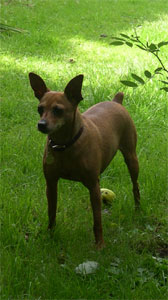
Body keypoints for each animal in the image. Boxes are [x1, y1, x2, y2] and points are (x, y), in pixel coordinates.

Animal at [28, 73, 139, 248]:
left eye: (58, 110)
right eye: (40, 109)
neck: (64, 145)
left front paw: (100, 244)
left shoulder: (93, 186)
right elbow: (51, 213)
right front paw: (50, 236)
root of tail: (116, 101)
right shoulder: (51, 184)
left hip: (131, 158)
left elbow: (97, 220)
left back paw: (138, 209)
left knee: (135, 186)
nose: (41, 125)